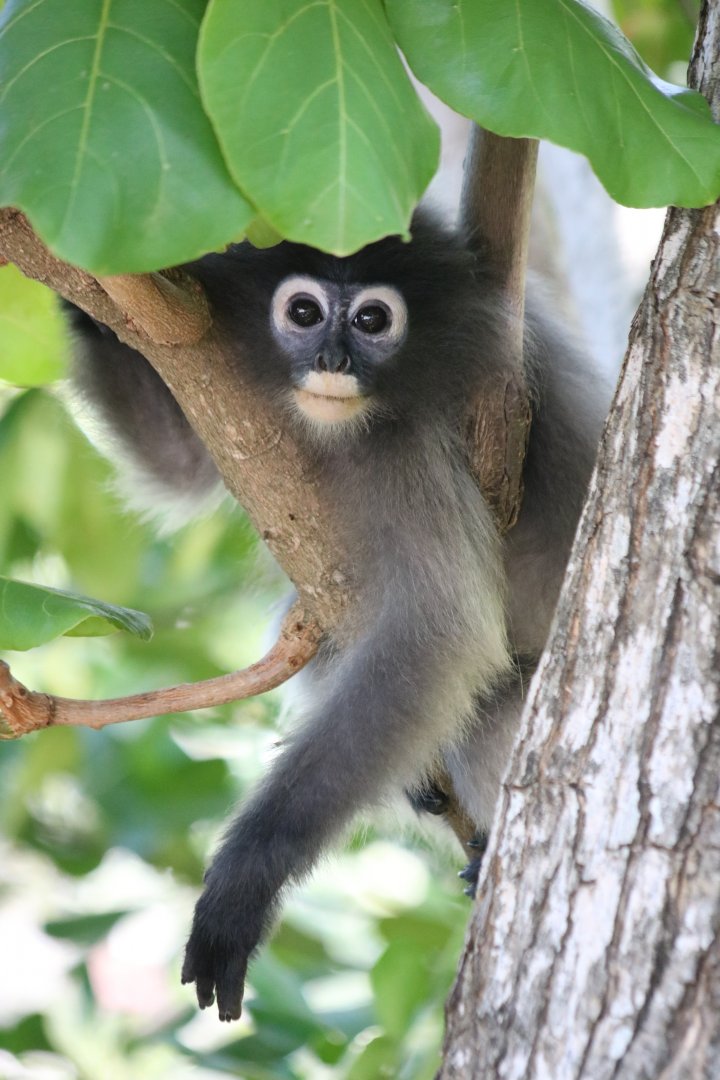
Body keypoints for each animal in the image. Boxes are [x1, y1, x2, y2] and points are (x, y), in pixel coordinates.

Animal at [63, 210, 610, 1022]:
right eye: (303, 311)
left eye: (373, 320)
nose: (331, 358)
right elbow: (179, 466)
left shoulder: (414, 443)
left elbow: (436, 635)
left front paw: (244, 880)